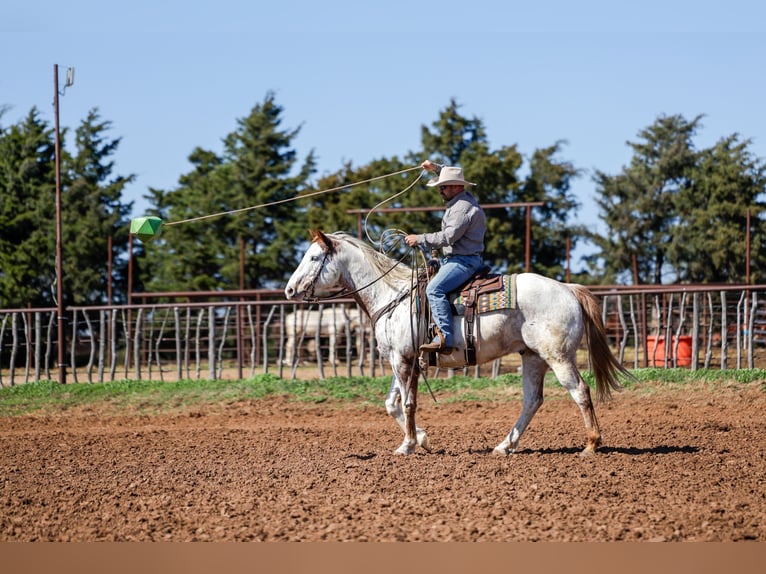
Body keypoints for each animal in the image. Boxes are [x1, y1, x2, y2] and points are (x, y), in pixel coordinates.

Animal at [284, 230, 631, 456]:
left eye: (313, 257)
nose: (289, 290)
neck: (393, 296)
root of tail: (568, 288)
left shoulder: (402, 360)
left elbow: (408, 404)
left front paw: (408, 446)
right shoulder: (402, 359)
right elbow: (392, 404)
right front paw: (422, 439)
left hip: (558, 357)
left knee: (580, 391)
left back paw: (591, 444)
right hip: (532, 356)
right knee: (532, 400)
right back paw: (505, 446)